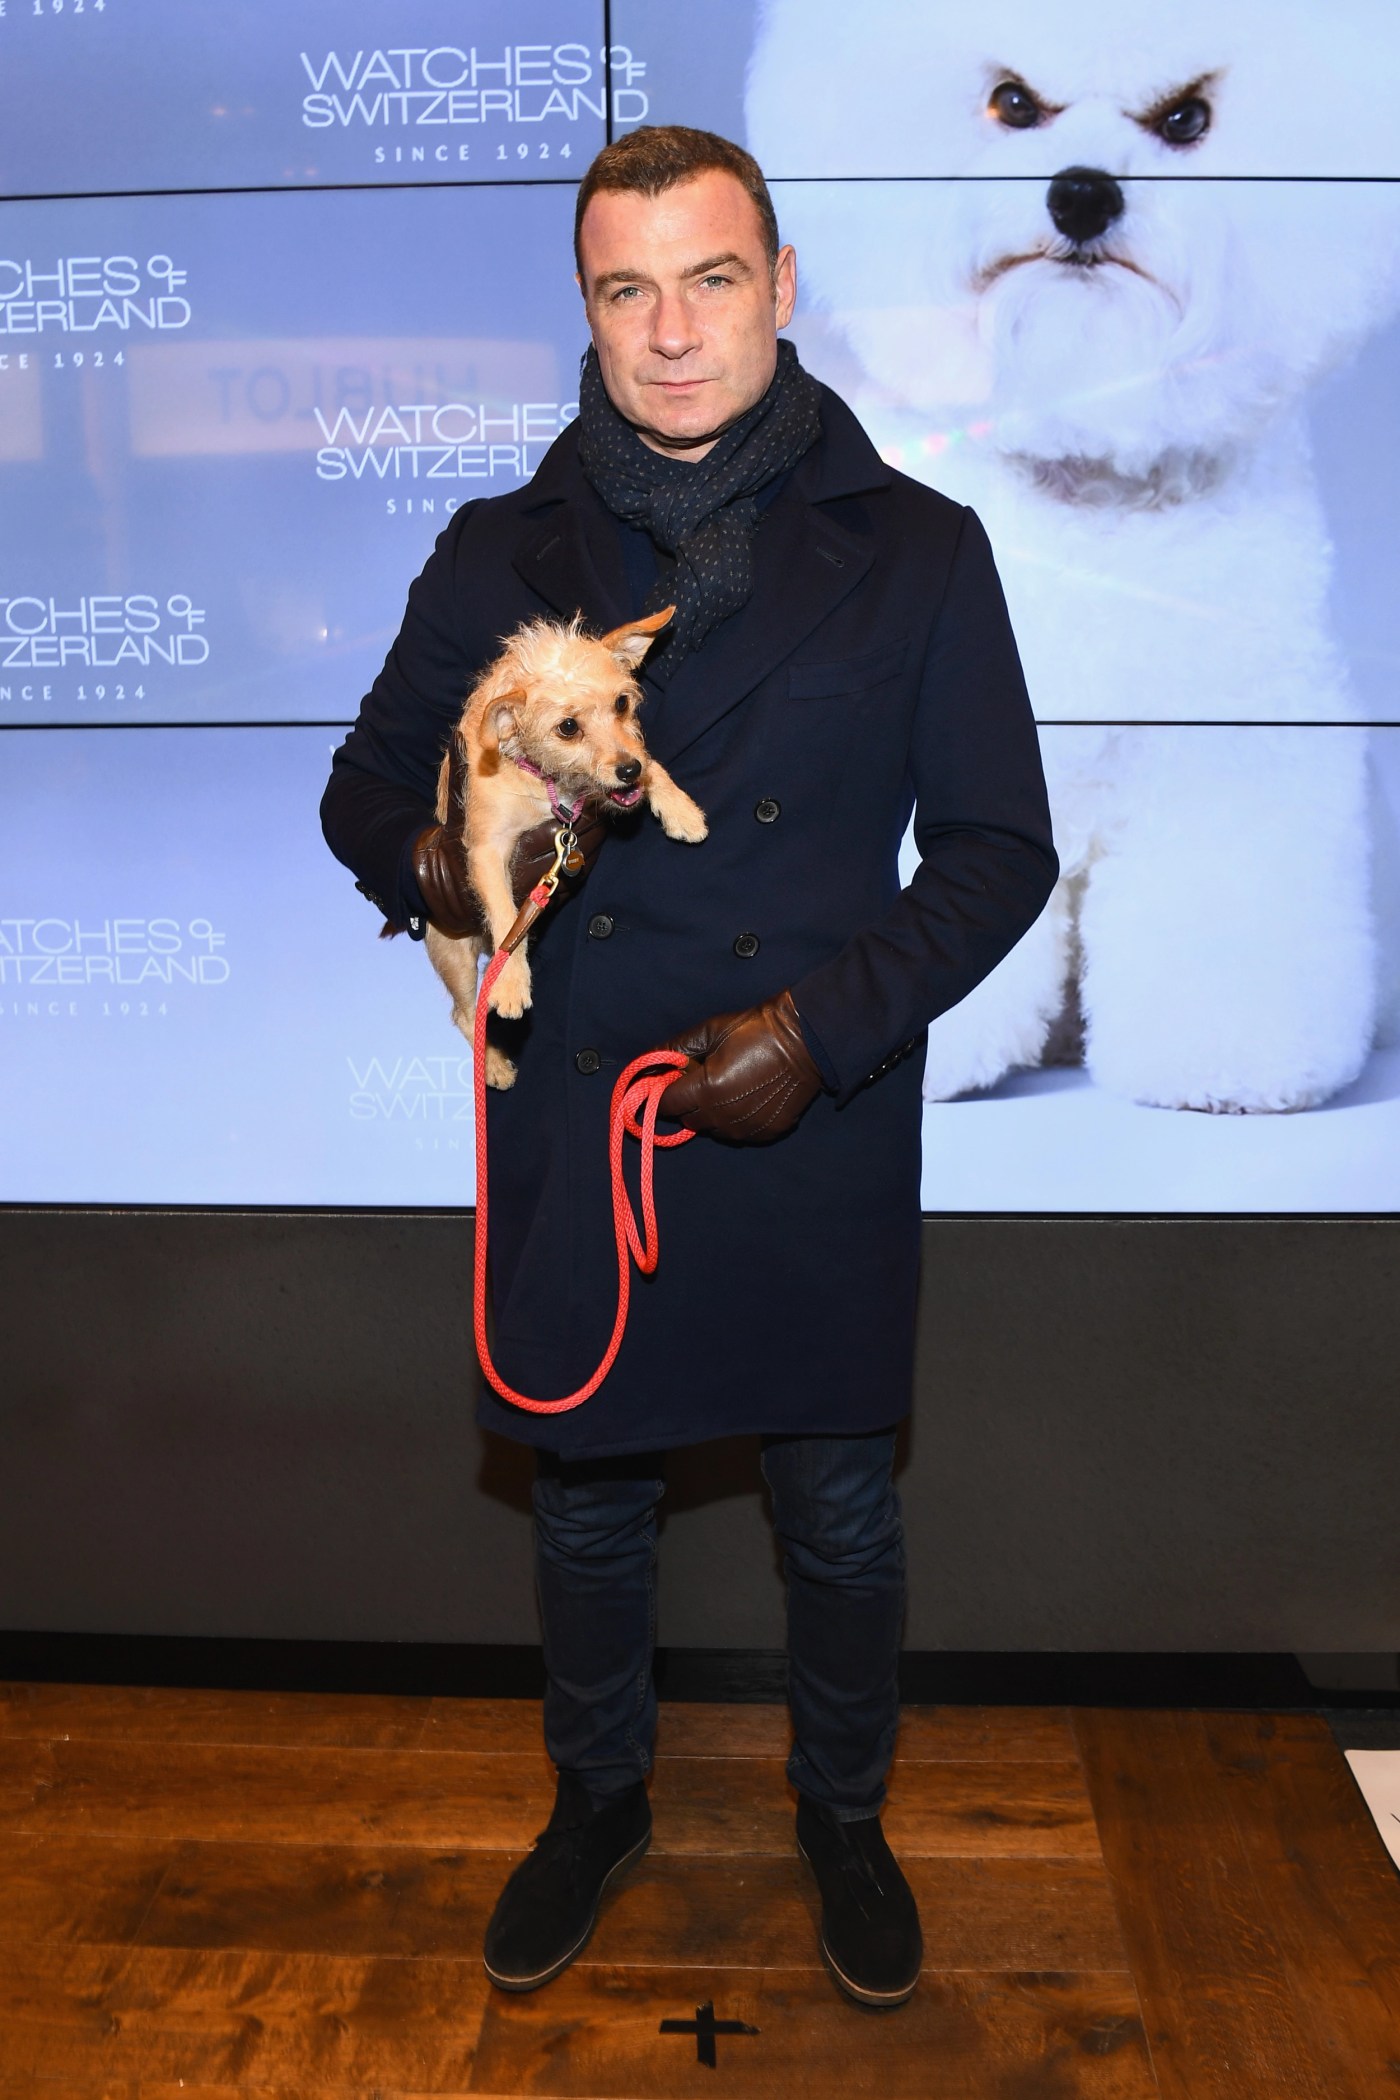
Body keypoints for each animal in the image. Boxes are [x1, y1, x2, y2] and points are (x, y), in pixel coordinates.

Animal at [425, 607, 707, 1089]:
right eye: (568, 728)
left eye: (622, 704)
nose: (627, 770)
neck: (542, 780)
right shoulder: (486, 850)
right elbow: (506, 917)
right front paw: (511, 981)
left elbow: (652, 764)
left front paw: (679, 808)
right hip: (454, 954)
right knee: (465, 1013)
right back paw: (492, 1062)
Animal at [748, 0, 1400, 1111]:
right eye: (1013, 103)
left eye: (1186, 119)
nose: (1082, 193)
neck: (1089, 463)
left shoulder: (1238, 736)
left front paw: (1222, 1056)